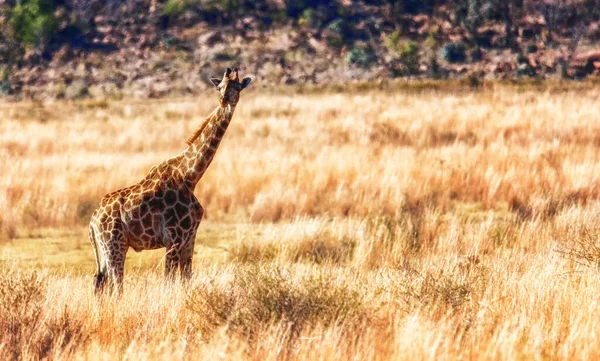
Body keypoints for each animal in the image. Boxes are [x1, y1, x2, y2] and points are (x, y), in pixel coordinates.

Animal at [89, 68, 251, 292]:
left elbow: (186, 278)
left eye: (237, 86)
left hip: (105, 249)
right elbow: (169, 281)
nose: (224, 99)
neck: (190, 176)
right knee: (116, 285)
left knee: (99, 282)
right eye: (219, 87)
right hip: (114, 245)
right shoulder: (173, 238)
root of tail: (92, 221)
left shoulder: (189, 237)